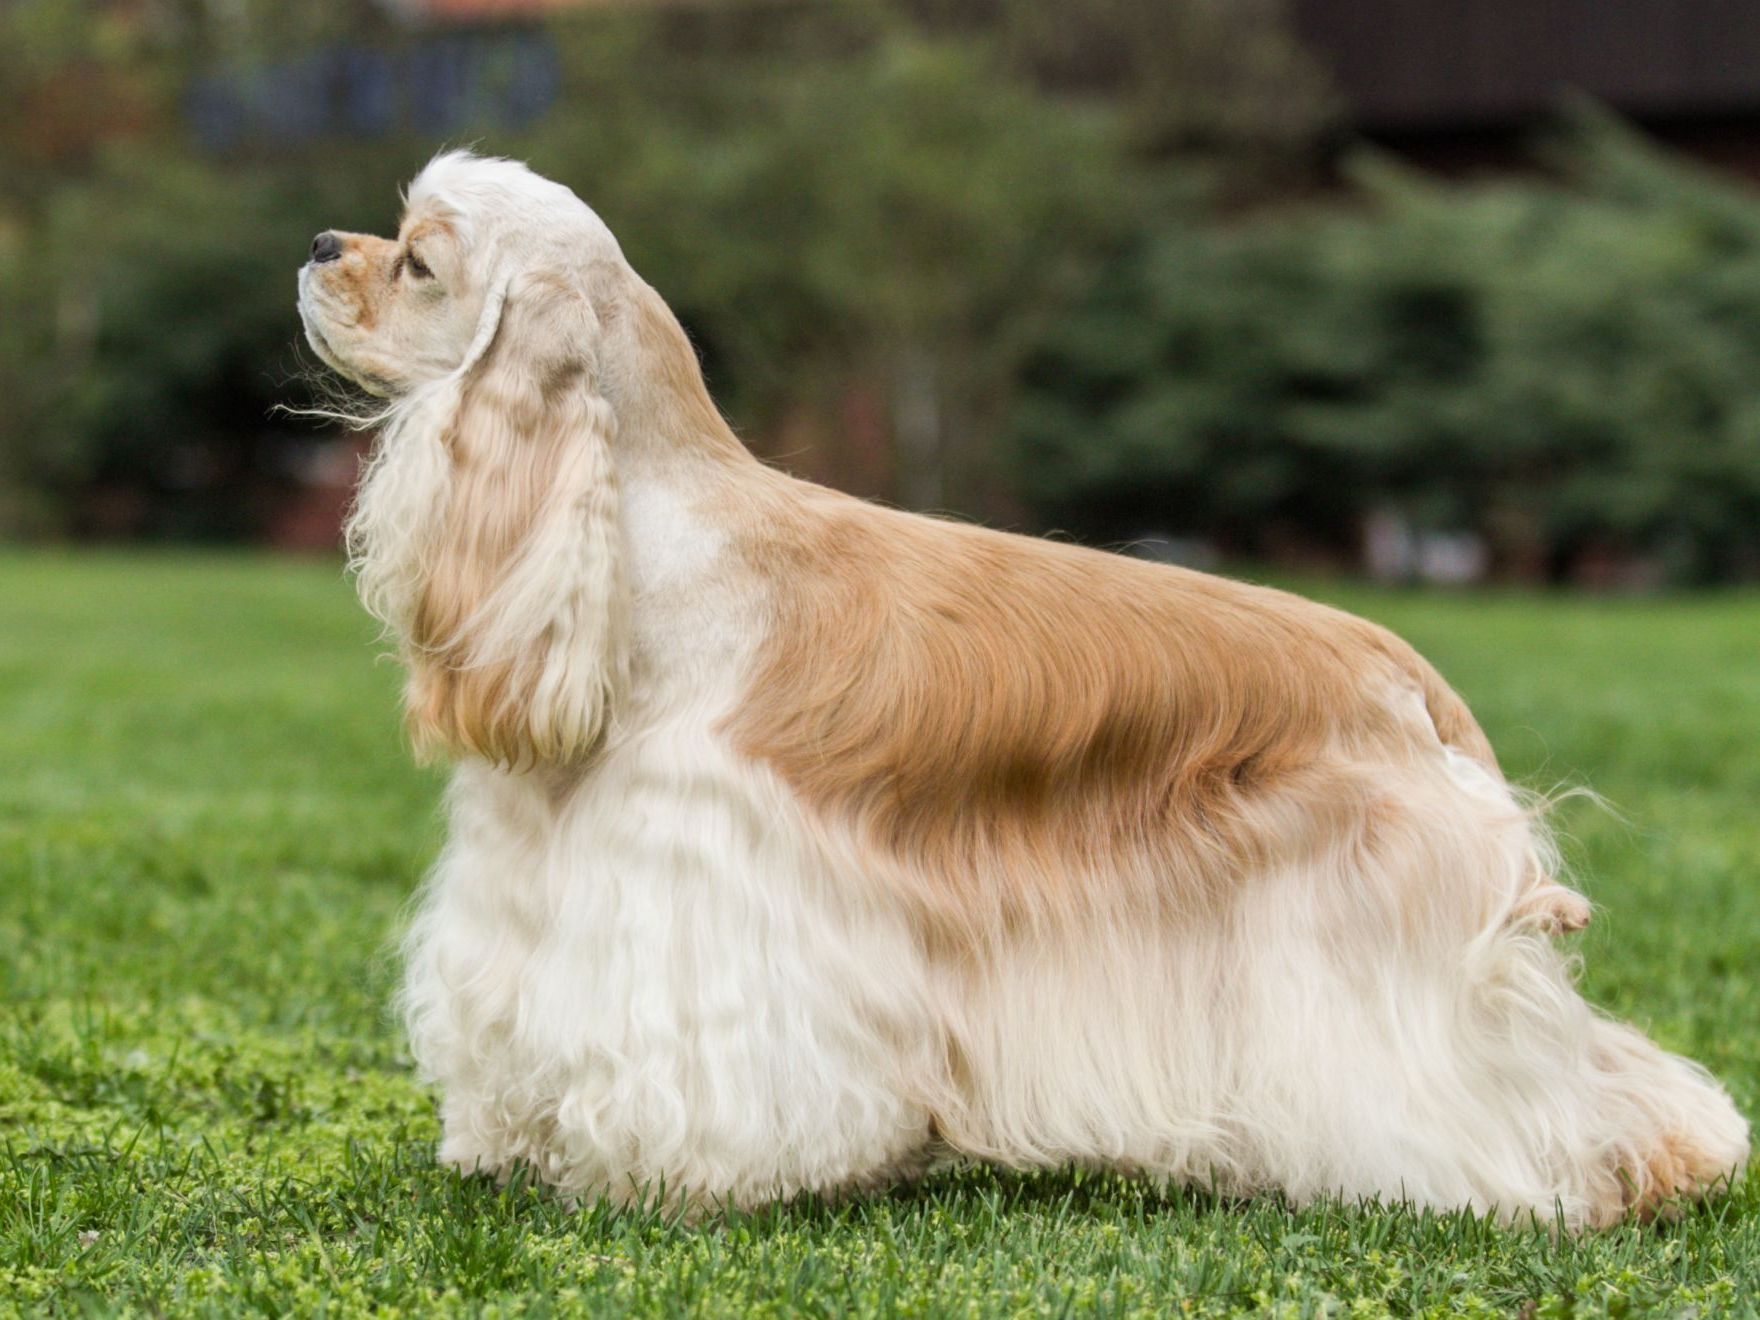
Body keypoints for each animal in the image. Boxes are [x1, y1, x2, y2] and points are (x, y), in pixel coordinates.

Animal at [302, 149, 1745, 1224]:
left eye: (419, 259)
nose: (319, 244)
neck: (643, 533)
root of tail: (1404, 670)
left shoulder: (707, 897)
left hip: (1368, 940)